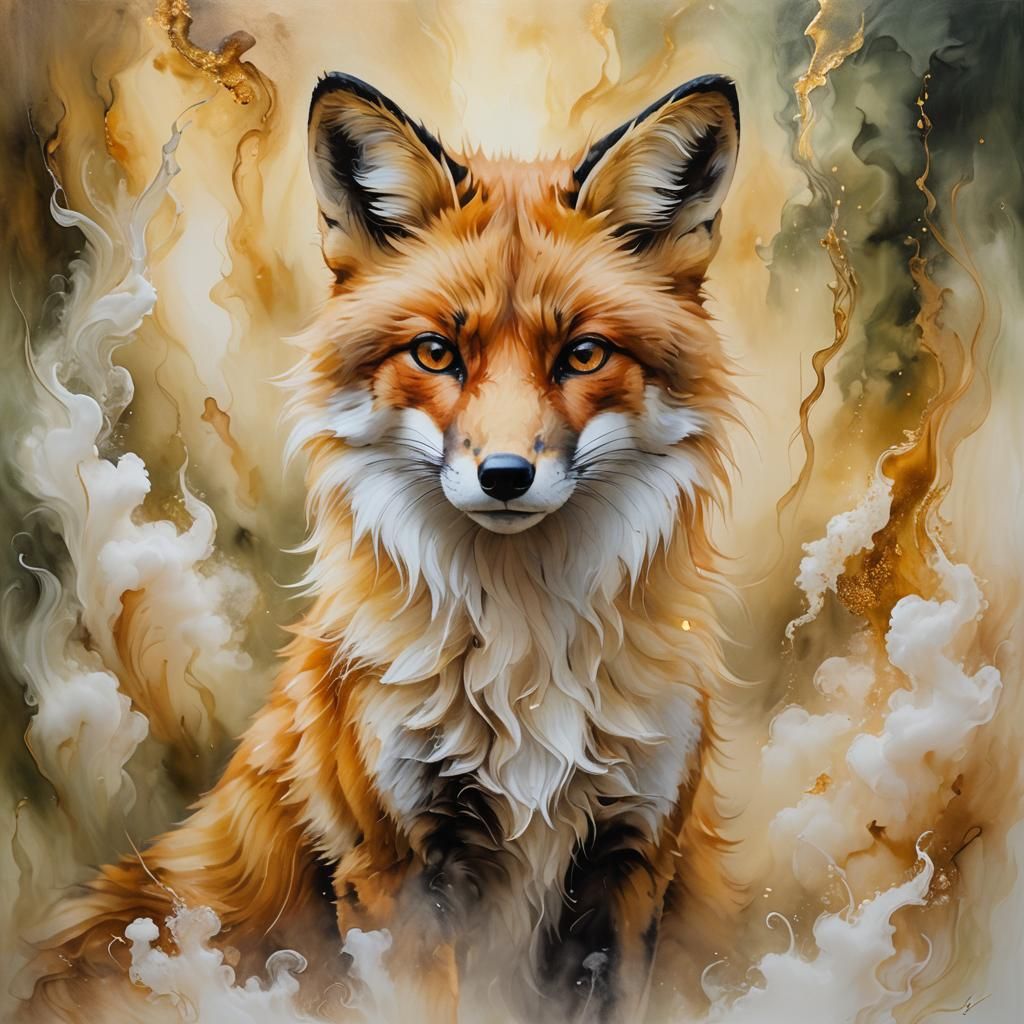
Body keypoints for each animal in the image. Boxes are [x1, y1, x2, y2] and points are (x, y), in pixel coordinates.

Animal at [21, 71, 740, 1023]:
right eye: (436, 353)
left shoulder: (630, 862)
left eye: (584, 355)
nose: (504, 476)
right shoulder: (397, 866)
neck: (525, 654)